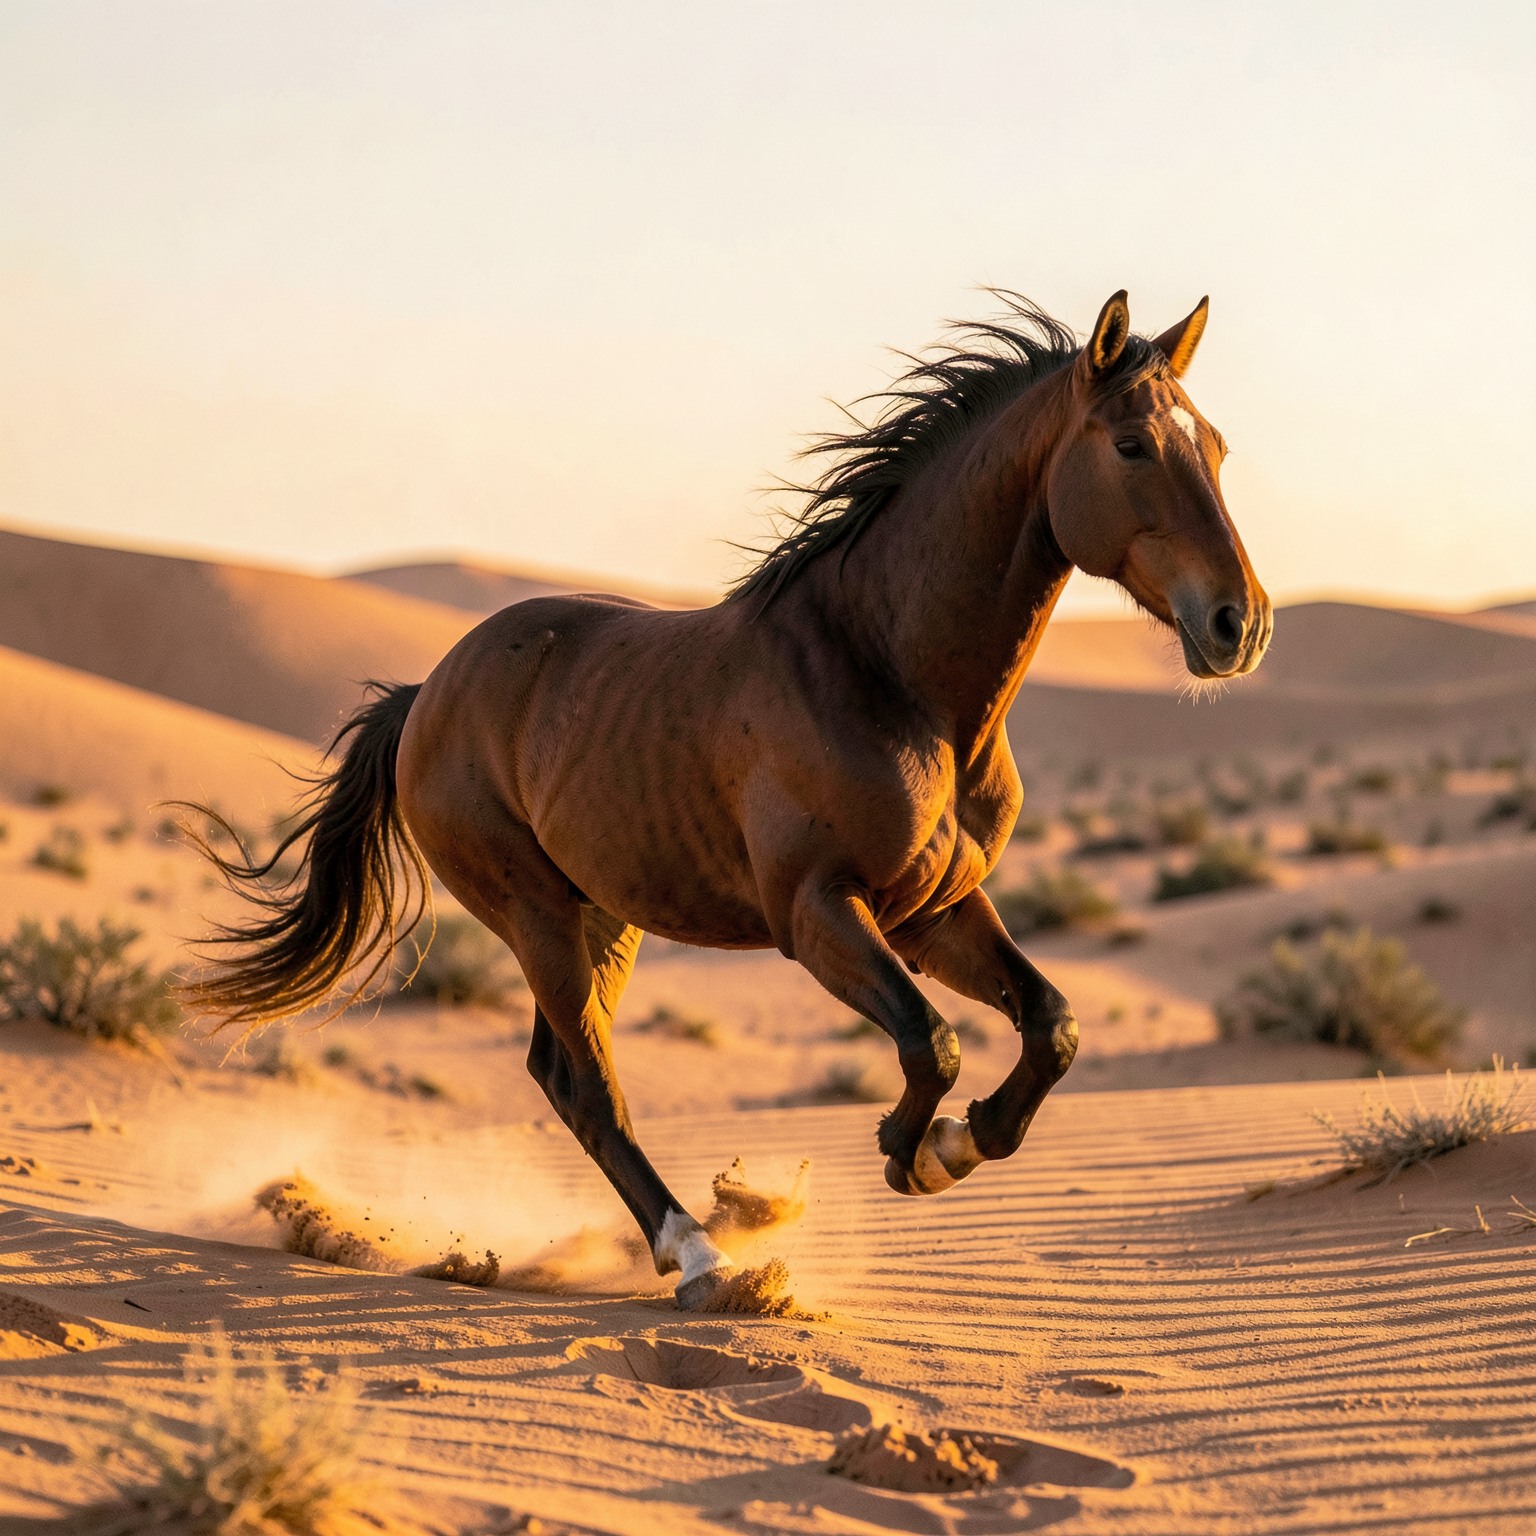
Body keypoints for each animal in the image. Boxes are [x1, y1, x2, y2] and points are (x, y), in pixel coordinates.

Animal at [187, 290, 1271, 1308]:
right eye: (1131, 445)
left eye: (1216, 446)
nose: (1241, 624)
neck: (892, 674)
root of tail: (428, 695)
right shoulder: (818, 912)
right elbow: (933, 1042)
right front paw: (909, 1149)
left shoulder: (936, 912)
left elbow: (1050, 1025)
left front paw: (958, 1148)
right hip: (535, 915)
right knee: (590, 1087)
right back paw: (703, 1259)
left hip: (602, 919)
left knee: (562, 1074)